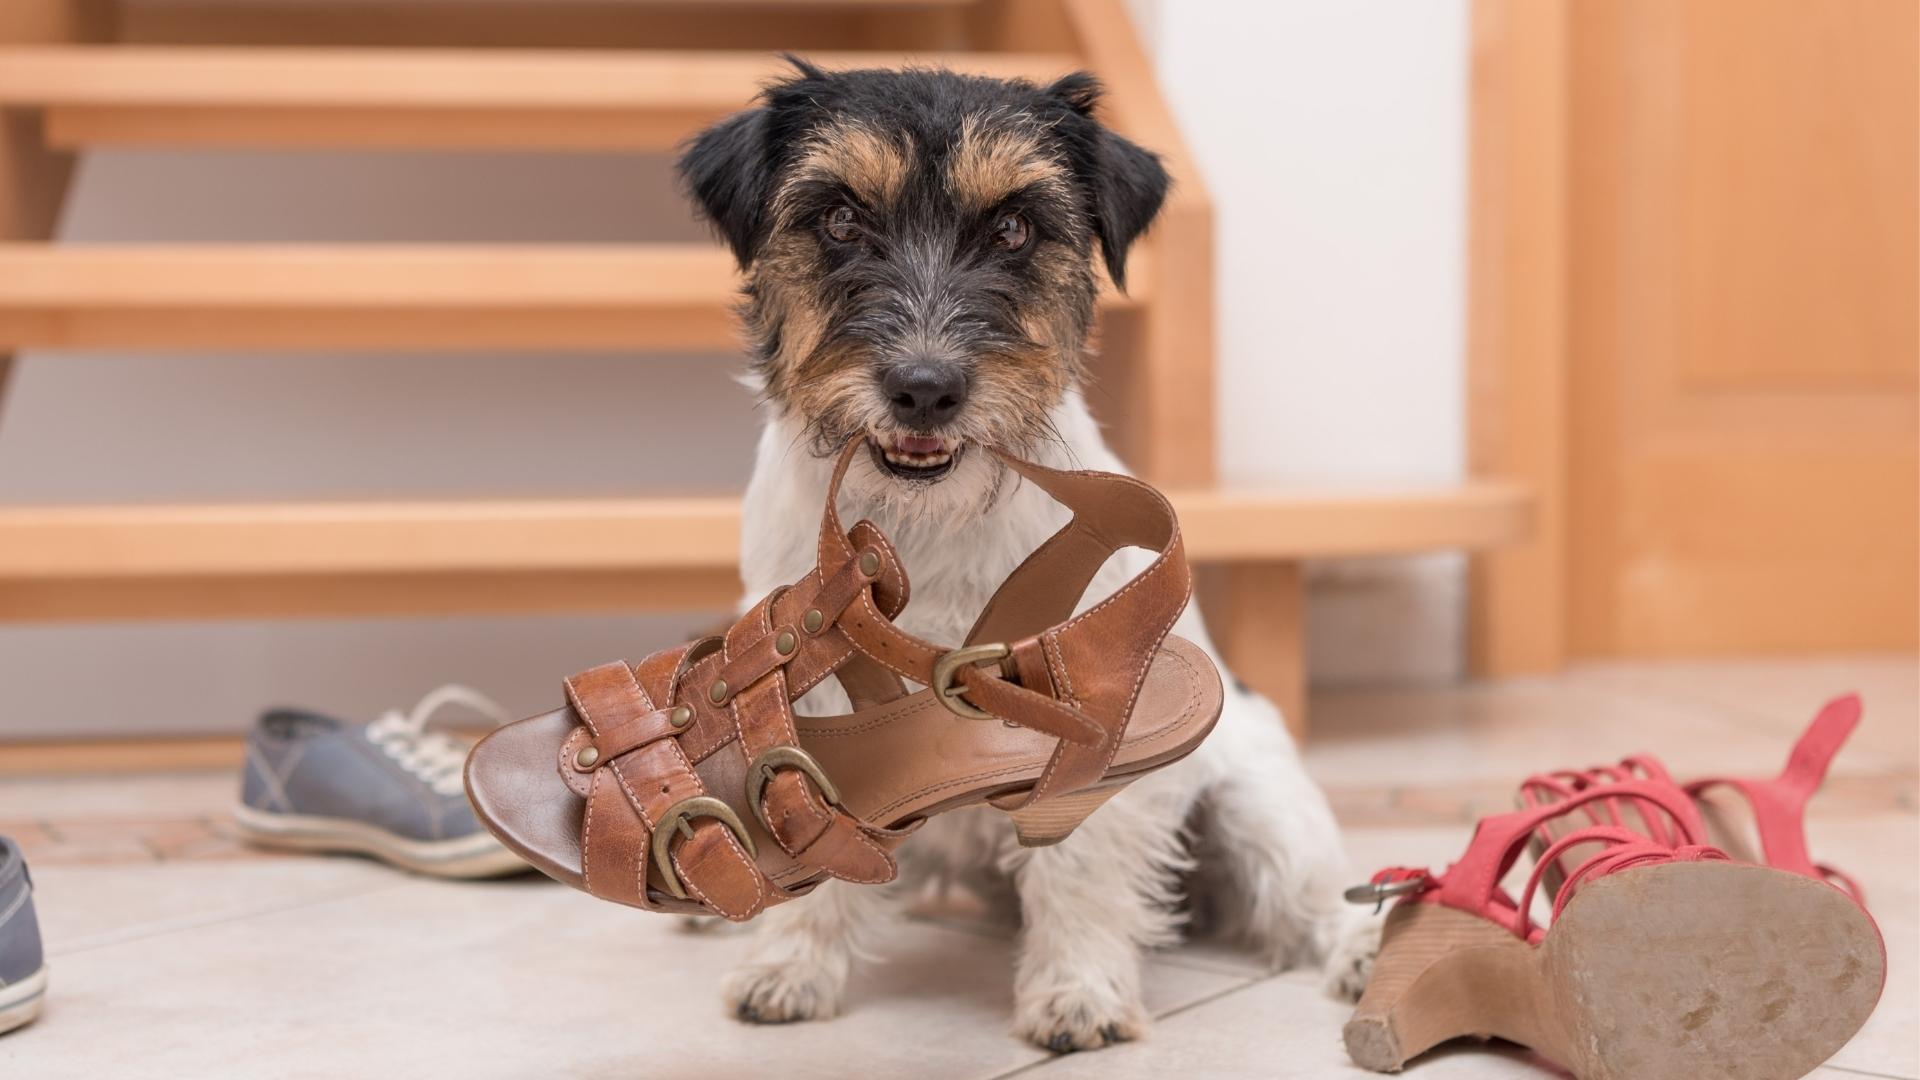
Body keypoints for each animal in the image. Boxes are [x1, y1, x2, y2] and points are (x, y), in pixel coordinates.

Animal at [675, 61, 1367, 1053]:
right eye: (840, 218)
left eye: (1013, 228)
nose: (926, 388)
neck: (919, 521)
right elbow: (807, 823)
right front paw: (792, 967)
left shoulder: (1090, 711)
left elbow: (1078, 864)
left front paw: (1076, 992)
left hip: (1260, 810)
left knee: (1313, 899)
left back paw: (1360, 951)